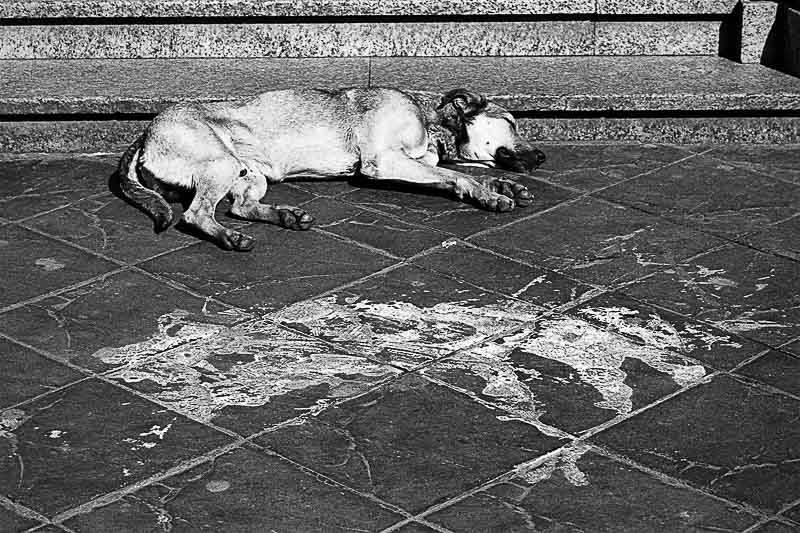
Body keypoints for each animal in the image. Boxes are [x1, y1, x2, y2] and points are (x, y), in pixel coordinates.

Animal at [118, 87, 546, 251]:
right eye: (512, 121)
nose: (542, 157)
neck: (431, 123)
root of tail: (144, 134)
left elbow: (465, 171)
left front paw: (504, 185)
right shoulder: (384, 161)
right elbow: (460, 174)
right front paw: (488, 195)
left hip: (249, 173)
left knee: (239, 206)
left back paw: (286, 217)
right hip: (222, 163)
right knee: (195, 215)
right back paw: (231, 238)